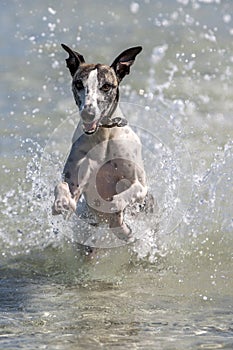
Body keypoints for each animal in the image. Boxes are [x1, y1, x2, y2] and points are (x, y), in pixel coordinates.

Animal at [52, 43, 148, 243]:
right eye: (78, 84)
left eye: (106, 86)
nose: (88, 114)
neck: (105, 134)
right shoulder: (76, 177)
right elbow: (62, 186)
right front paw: (62, 202)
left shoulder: (141, 186)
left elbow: (123, 197)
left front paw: (120, 220)